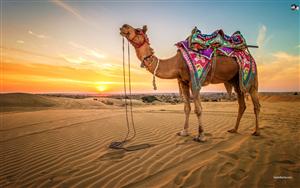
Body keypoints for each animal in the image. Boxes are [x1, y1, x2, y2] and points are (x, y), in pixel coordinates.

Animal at [119, 24, 260, 142]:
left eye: (138, 30)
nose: (124, 26)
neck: (176, 63)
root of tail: (250, 56)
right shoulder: (184, 82)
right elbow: (187, 108)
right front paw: (184, 132)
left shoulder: (194, 81)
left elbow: (198, 109)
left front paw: (201, 136)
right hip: (236, 81)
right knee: (241, 104)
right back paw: (234, 130)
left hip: (252, 78)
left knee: (256, 104)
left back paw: (256, 132)